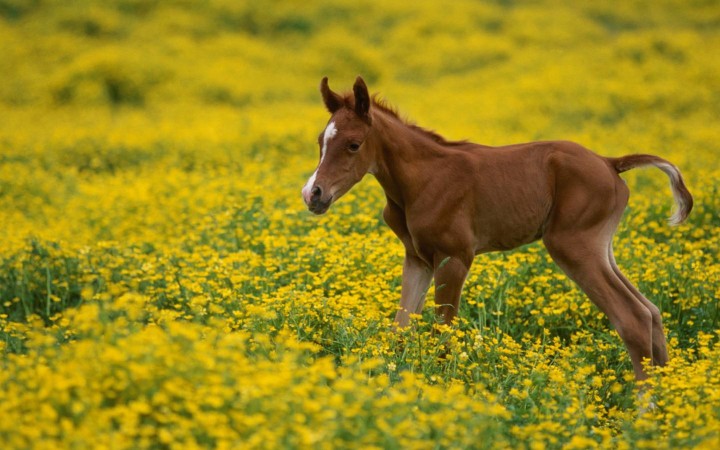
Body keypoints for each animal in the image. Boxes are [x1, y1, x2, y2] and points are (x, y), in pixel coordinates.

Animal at [300, 76, 692, 380]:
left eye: (353, 144)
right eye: (320, 142)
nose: (312, 194)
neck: (421, 180)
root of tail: (610, 163)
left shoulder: (455, 258)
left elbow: (443, 332)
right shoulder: (418, 259)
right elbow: (401, 326)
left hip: (573, 246)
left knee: (633, 317)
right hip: (601, 249)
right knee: (652, 312)